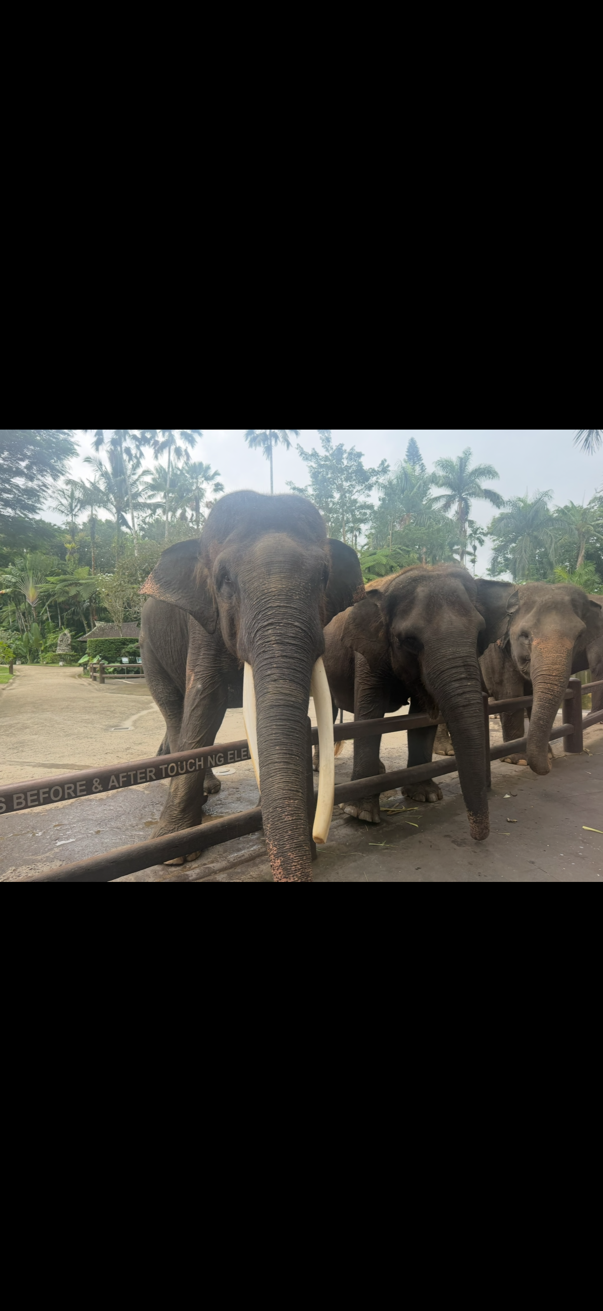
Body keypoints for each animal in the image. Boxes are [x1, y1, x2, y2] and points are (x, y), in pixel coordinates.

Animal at [139, 492, 364, 882]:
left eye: (324, 577)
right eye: (224, 579)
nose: (318, 839)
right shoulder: (205, 623)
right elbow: (205, 702)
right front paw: (175, 855)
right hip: (148, 649)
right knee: (176, 711)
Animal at [321, 563, 506, 838]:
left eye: (479, 634)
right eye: (410, 640)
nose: (479, 836)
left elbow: (422, 716)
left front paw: (426, 796)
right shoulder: (367, 651)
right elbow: (370, 714)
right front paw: (360, 814)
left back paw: (380, 771)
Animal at [477, 581, 603, 773]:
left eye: (579, 636)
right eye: (524, 635)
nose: (550, 765)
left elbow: (531, 697)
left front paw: (547, 754)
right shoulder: (493, 652)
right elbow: (510, 695)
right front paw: (518, 760)